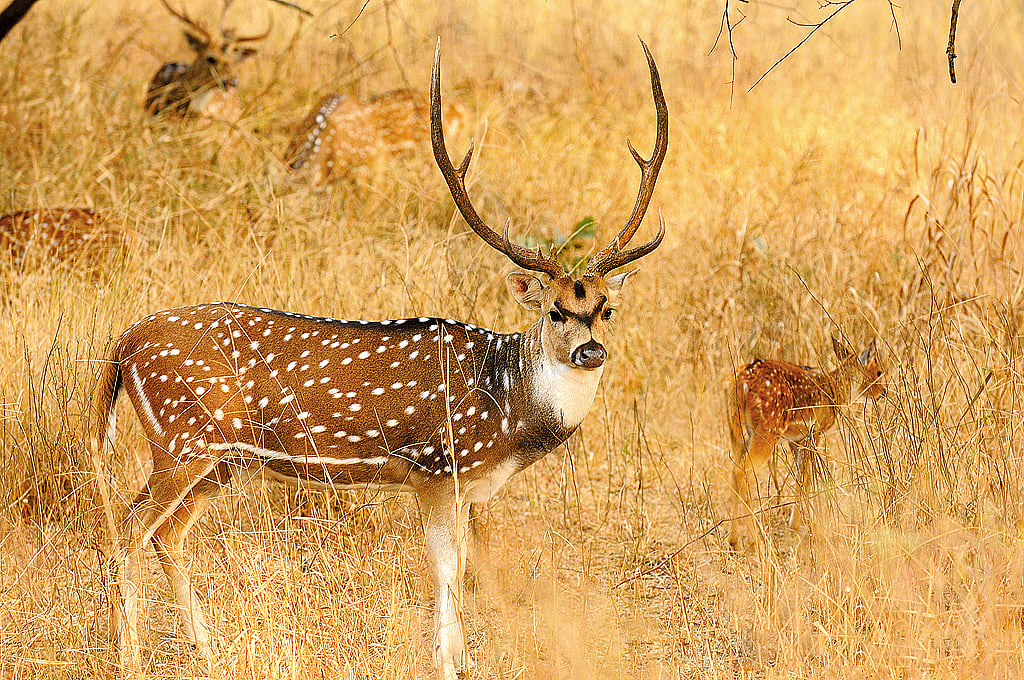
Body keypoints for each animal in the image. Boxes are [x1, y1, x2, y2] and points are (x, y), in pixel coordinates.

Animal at [727, 336, 887, 550]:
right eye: (878, 372)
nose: (883, 392)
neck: (836, 391)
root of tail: (741, 383)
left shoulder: (796, 439)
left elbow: (801, 475)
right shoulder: (814, 431)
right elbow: (806, 476)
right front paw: (796, 526)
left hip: (736, 432)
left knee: (734, 470)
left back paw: (734, 540)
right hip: (768, 429)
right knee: (743, 471)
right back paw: (755, 542)